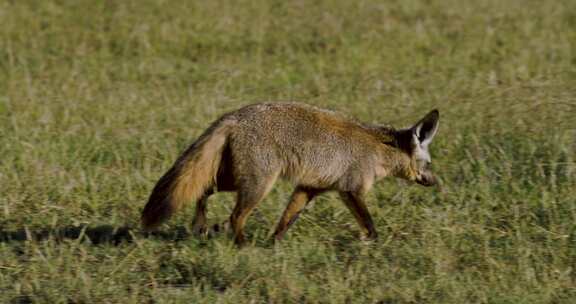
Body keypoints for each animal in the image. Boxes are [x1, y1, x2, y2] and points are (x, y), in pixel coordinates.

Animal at [142, 102, 438, 245]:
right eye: (428, 164)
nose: (437, 182)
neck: (379, 149)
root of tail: (235, 115)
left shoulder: (308, 188)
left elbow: (285, 221)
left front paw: (274, 245)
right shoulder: (350, 190)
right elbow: (370, 224)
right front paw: (372, 244)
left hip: (235, 181)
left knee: (204, 190)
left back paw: (204, 226)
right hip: (258, 186)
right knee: (235, 216)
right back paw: (241, 245)